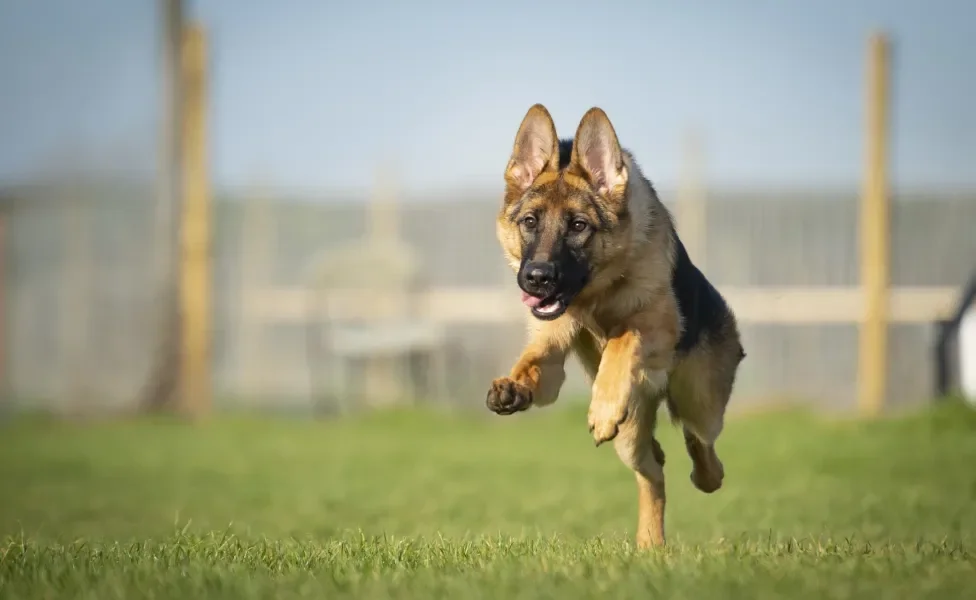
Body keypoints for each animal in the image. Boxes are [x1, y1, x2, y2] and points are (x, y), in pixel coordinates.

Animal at [484, 104, 744, 548]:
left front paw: (604, 406)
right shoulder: (551, 354)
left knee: (701, 444)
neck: (596, 293)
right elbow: (533, 362)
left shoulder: (657, 326)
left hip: (701, 401)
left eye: (578, 226)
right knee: (654, 468)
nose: (536, 278)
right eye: (531, 222)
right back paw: (650, 544)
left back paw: (704, 474)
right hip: (632, 438)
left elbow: (624, 337)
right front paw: (513, 385)